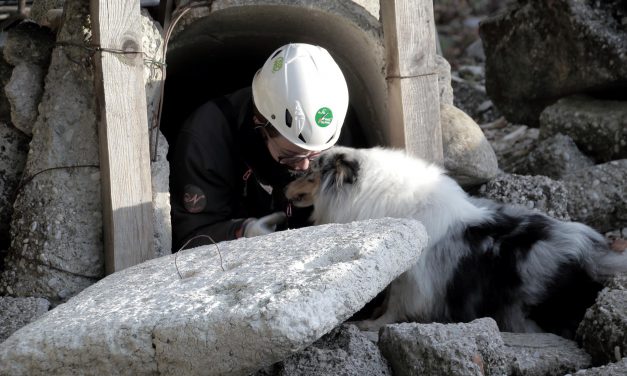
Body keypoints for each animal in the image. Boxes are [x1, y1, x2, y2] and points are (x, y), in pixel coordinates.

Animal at [288, 145, 624, 336]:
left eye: (309, 173)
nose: (282, 189)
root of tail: (593, 253)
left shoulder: (411, 281)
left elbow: (394, 309)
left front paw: (369, 325)